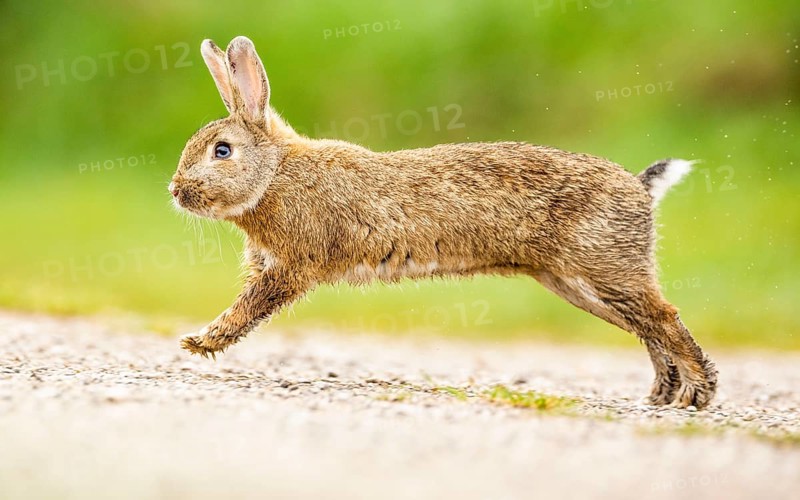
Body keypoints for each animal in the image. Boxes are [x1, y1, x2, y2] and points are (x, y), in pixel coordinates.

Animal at [169, 36, 717, 409]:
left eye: (222, 151)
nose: (175, 191)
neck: (276, 172)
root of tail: (641, 190)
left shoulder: (291, 265)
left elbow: (249, 309)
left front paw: (201, 341)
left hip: (603, 268)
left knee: (664, 319)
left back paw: (696, 394)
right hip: (576, 282)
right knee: (647, 327)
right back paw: (662, 394)